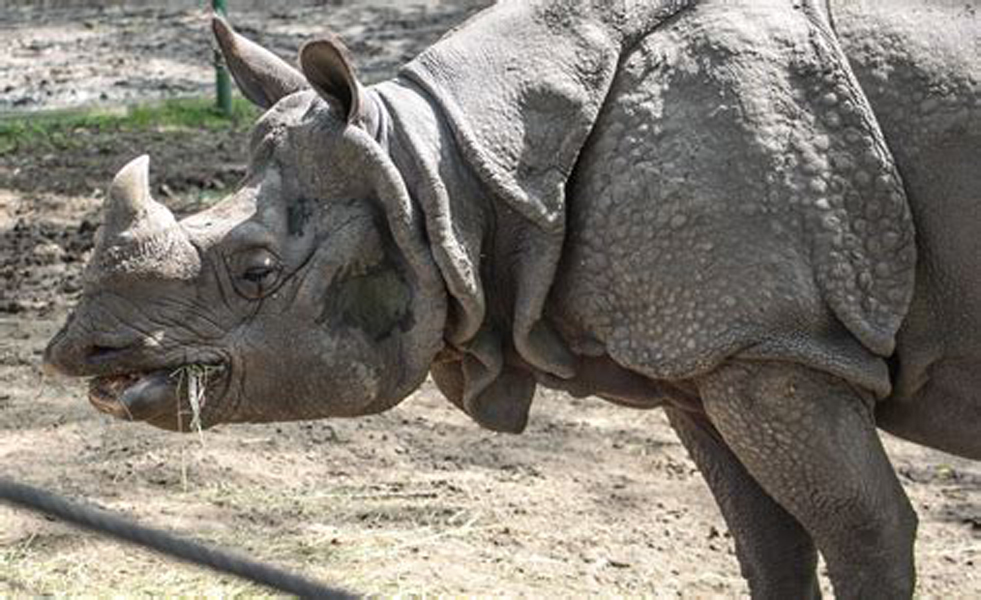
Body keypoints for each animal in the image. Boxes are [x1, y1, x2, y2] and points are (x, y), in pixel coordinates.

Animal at [43, 0, 978, 597]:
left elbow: (864, 533)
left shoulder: (776, 343)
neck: (440, 179)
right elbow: (771, 545)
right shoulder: (713, 351)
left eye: (257, 270)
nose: (78, 353)